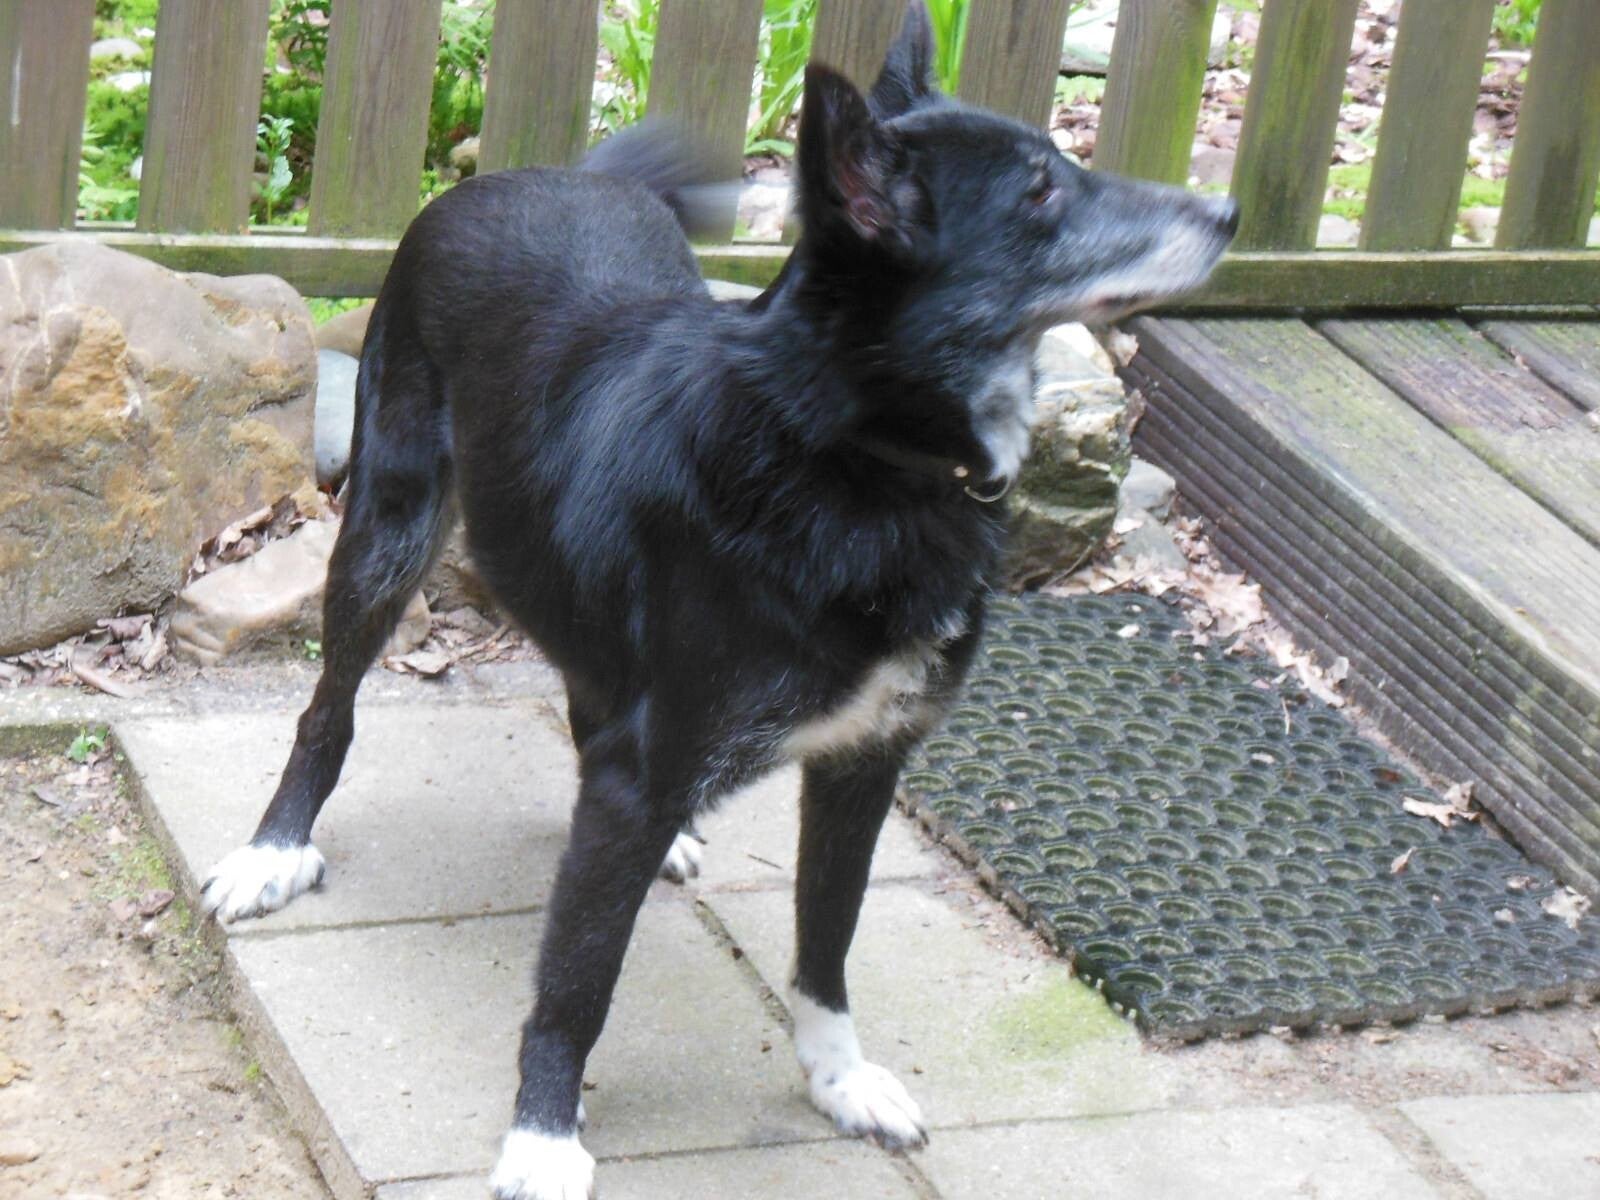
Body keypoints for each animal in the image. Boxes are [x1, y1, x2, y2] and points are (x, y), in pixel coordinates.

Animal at [199, 5, 1235, 1196]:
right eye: (1040, 194)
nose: (1228, 212)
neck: (852, 457)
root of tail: (555, 173)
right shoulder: (643, 777)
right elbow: (578, 980)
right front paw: (542, 1137)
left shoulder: (863, 762)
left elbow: (825, 941)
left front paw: (839, 1080)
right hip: (388, 532)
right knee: (329, 709)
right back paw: (274, 850)